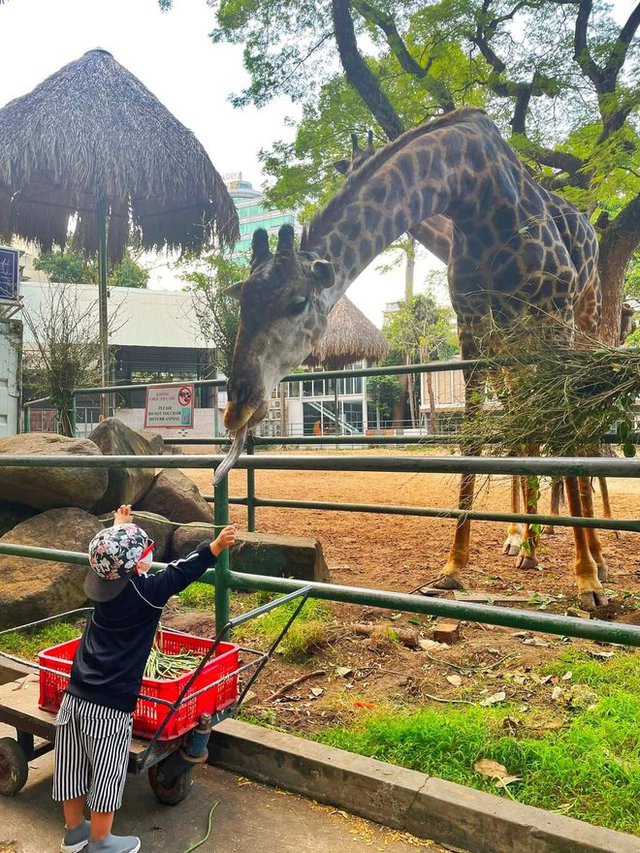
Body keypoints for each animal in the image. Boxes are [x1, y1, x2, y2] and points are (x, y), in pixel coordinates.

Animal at [222, 108, 608, 604]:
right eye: (243, 303)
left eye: (296, 302)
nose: (237, 407)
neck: (476, 192)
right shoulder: (472, 322)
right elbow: (472, 439)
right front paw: (453, 566)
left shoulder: (552, 313)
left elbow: (560, 436)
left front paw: (586, 579)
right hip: (516, 340)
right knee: (527, 427)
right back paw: (525, 544)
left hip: (581, 318)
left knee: (577, 429)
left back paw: (594, 557)